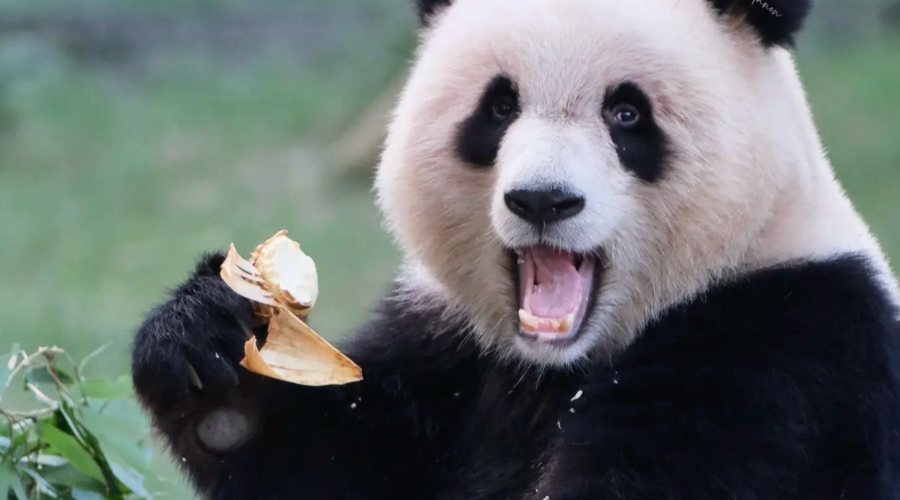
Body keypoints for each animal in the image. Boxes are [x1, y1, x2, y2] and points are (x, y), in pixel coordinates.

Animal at [132, 0, 900, 498]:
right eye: (499, 108)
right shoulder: (449, 346)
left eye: (627, 113)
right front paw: (206, 338)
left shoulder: (780, 347)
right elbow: (325, 463)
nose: (543, 201)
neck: (557, 367)